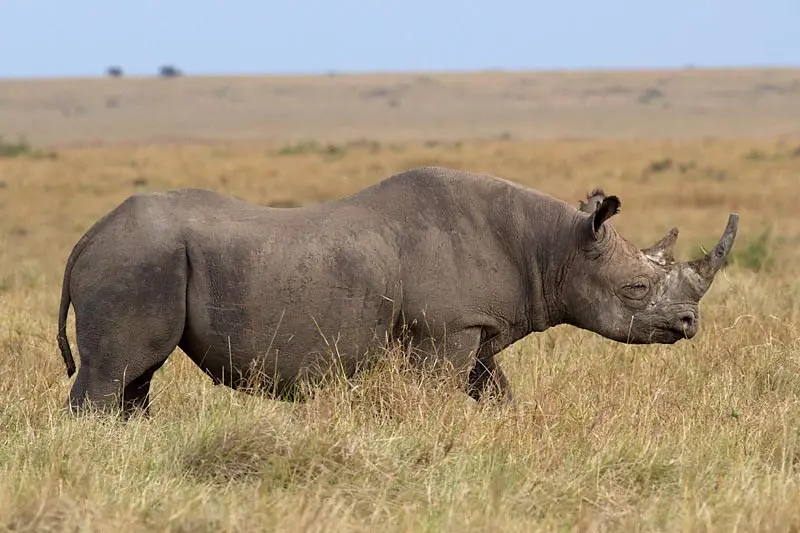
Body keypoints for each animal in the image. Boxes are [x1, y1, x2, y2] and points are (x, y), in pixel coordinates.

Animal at [56, 166, 739, 417]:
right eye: (637, 287)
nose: (688, 324)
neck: (554, 248)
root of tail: (84, 240)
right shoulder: (447, 330)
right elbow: (439, 395)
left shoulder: (475, 328)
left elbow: (496, 391)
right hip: (136, 260)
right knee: (115, 372)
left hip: (142, 258)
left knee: (137, 377)